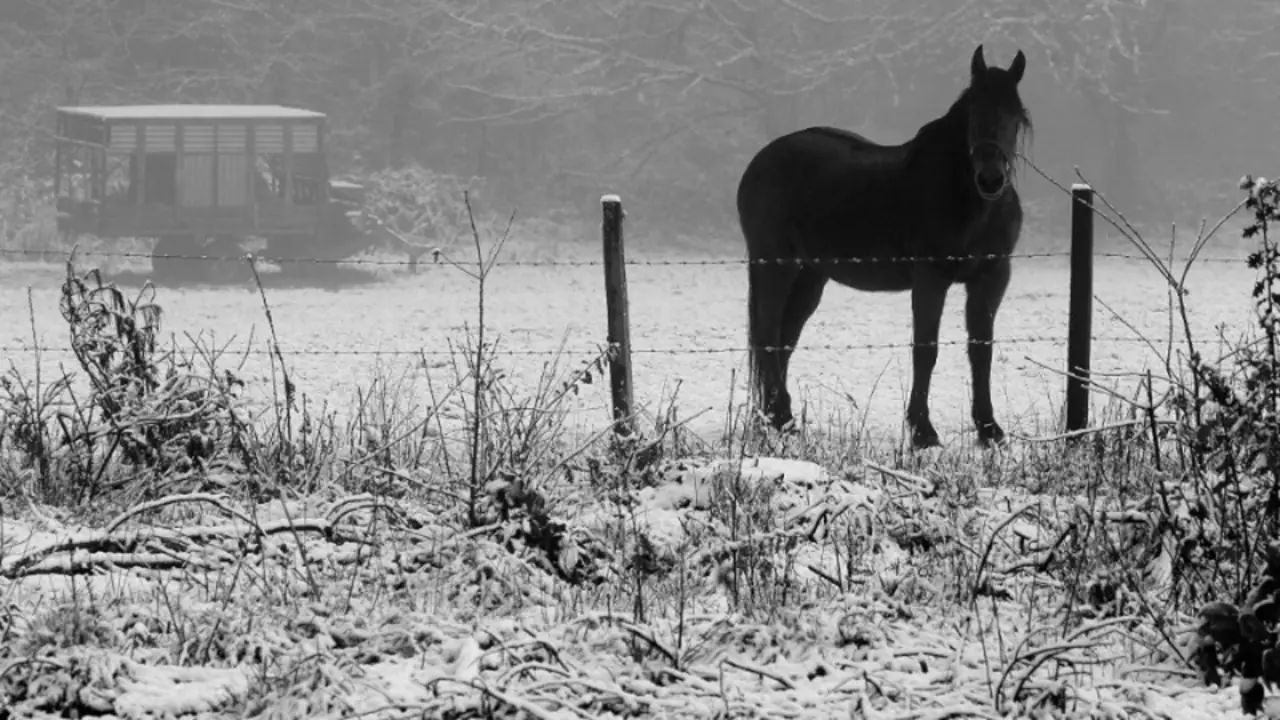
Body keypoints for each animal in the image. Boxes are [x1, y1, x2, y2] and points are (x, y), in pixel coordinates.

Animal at [736, 44, 1032, 449]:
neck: (968, 202)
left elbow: (980, 349)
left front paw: (989, 429)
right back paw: (779, 417)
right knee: (767, 335)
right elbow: (926, 350)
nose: (991, 179)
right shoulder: (930, 278)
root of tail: (760, 162)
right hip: (775, 265)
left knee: (784, 336)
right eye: (974, 115)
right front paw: (923, 431)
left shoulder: (992, 277)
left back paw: (773, 417)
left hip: (810, 275)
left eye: (1015, 118)